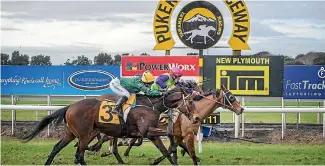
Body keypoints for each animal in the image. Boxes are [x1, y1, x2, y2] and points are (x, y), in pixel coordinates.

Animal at [21, 87, 196, 165]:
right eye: (192, 102)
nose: (196, 118)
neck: (151, 105)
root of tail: (70, 106)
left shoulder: (150, 134)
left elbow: (165, 148)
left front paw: (175, 157)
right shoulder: (147, 131)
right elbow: (170, 135)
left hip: (71, 133)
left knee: (57, 147)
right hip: (84, 135)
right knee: (80, 154)